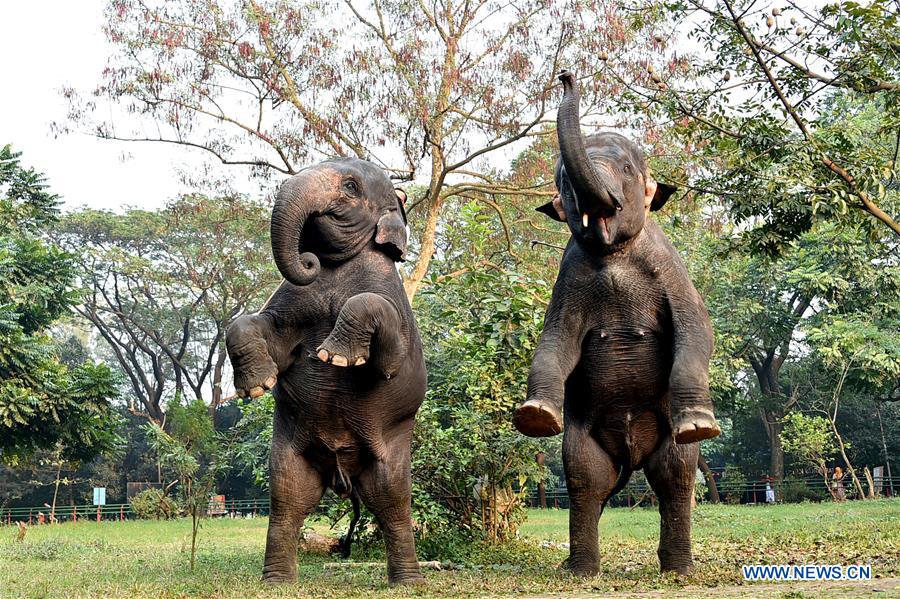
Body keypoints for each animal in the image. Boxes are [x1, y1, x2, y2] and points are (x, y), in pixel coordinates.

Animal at [223, 158, 424, 584]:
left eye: (349, 186)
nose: (308, 259)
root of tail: (341, 478)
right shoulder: (291, 298)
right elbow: (260, 328)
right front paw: (257, 386)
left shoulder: (395, 309)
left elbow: (388, 357)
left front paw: (335, 357)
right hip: (290, 450)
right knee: (287, 499)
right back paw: (277, 581)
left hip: (393, 448)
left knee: (392, 501)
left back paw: (409, 582)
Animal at [512, 71, 724, 576]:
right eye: (561, 179)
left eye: (628, 169)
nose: (566, 75)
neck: (615, 253)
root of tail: (631, 458)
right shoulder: (569, 279)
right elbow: (555, 340)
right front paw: (535, 416)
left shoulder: (670, 268)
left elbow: (698, 329)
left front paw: (701, 424)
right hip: (586, 441)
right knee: (585, 478)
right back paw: (581, 570)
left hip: (664, 438)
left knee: (675, 474)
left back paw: (678, 570)